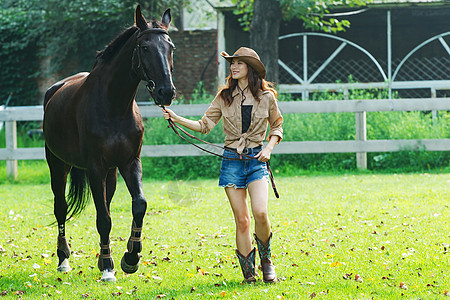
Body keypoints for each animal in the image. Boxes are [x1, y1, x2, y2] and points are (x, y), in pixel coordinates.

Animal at [42, 4, 176, 282]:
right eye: (144, 47)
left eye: (171, 47)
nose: (166, 92)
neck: (114, 105)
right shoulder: (95, 168)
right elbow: (103, 218)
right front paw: (107, 268)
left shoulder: (129, 163)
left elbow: (139, 205)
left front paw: (130, 257)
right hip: (58, 165)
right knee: (61, 208)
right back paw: (63, 260)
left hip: (110, 173)